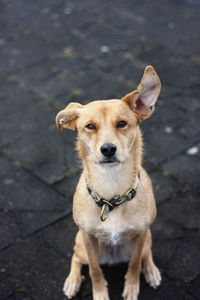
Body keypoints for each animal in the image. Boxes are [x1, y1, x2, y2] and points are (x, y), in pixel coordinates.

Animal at [55, 66, 161, 300]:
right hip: (80, 243)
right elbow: (95, 270)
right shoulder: (87, 238)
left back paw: (151, 271)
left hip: (148, 237)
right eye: (90, 126)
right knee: (76, 257)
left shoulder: (141, 235)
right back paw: (72, 281)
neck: (112, 190)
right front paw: (100, 293)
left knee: (147, 254)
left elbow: (134, 263)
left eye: (122, 123)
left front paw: (132, 287)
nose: (108, 149)